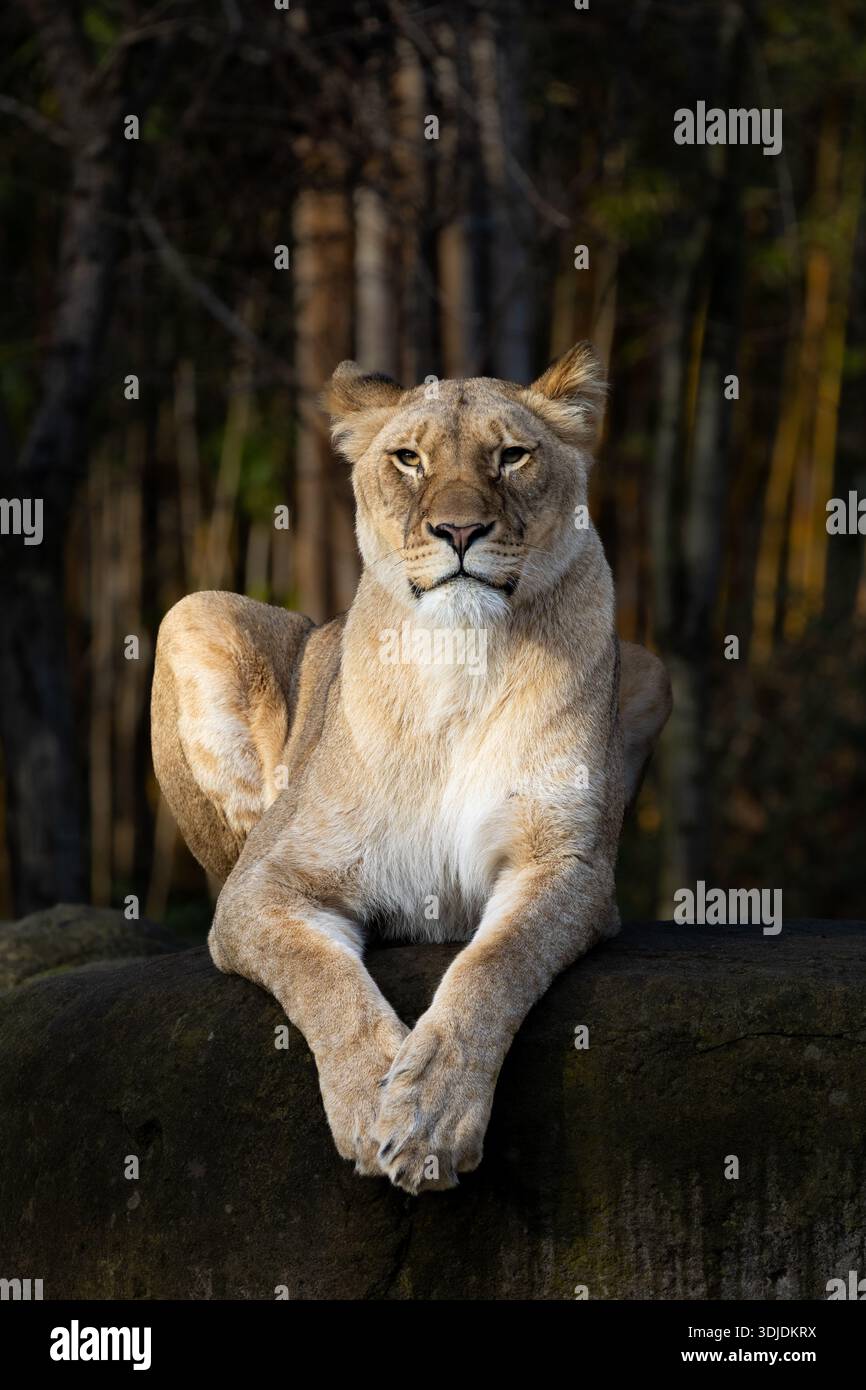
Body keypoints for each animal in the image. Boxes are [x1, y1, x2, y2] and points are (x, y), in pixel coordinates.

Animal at [151, 343, 672, 1194]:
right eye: (408, 458)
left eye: (511, 454)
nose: (458, 529)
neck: (458, 659)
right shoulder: (263, 886)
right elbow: (321, 976)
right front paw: (374, 1100)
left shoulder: (568, 866)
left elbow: (495, 963)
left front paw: (429, 1113)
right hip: (192, 613)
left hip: (652, 669)